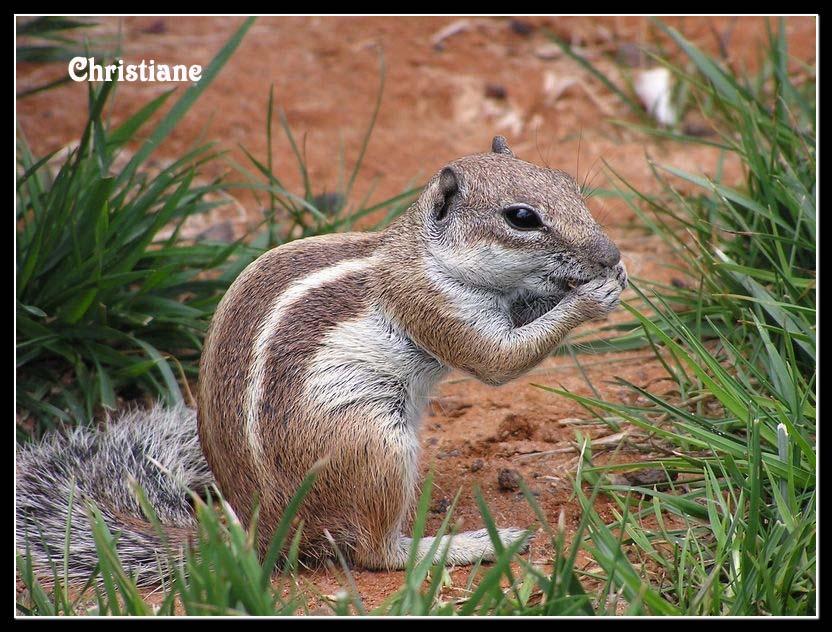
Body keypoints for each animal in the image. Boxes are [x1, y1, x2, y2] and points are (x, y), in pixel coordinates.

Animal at [14, 137, 624, 584]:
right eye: (521, 218)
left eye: (567, 182)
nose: (611, 252)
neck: (422, 253)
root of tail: (264, 530)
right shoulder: (431, 305)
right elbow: (497, 360)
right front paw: (593, 295)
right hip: (376, 445)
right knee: (374, 553)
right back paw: (464, 544)